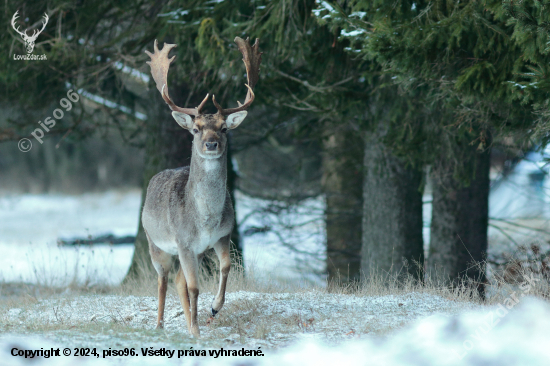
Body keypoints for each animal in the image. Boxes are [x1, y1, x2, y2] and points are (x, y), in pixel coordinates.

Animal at [142, 37, 264, 338]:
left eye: (224, 128)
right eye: (196, 129)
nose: (211, 143)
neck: (205, 220)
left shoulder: (221, 236)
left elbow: (226, 266)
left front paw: (214, 308)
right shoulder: (184, 241)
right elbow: (194, 287)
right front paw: (197, 331)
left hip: (192, 252)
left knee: (177, 280)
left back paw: (186, 322)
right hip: (154, 242)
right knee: (163, 279)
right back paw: (160, 324)